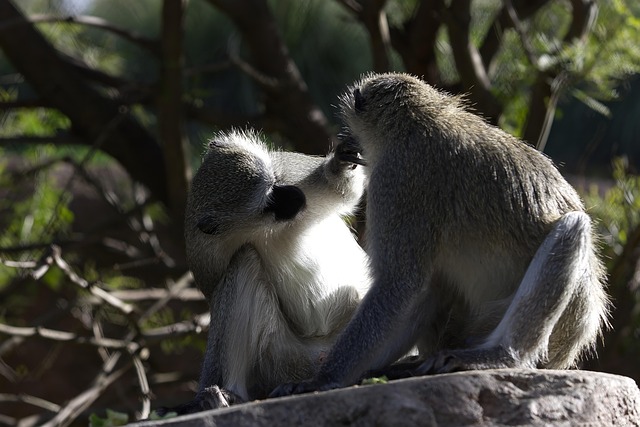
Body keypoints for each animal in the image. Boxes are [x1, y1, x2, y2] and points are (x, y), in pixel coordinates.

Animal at [162, 129, 371, 414]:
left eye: (276, 181)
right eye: (268, 201)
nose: (296, 196)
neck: (260, 228)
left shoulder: (291, 170)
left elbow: (344, 192)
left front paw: (341, 163)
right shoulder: (205, 254)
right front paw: (200, 398)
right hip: (285, 360)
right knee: (244, 261)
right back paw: (230, 396)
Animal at [271, 72, 610, 396]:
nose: (347, 144)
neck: (418, 122)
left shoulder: (397, 180)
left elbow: (398, 284)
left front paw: (322, 379)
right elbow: (417, 289)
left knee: (573, 227)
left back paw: (502, 356)